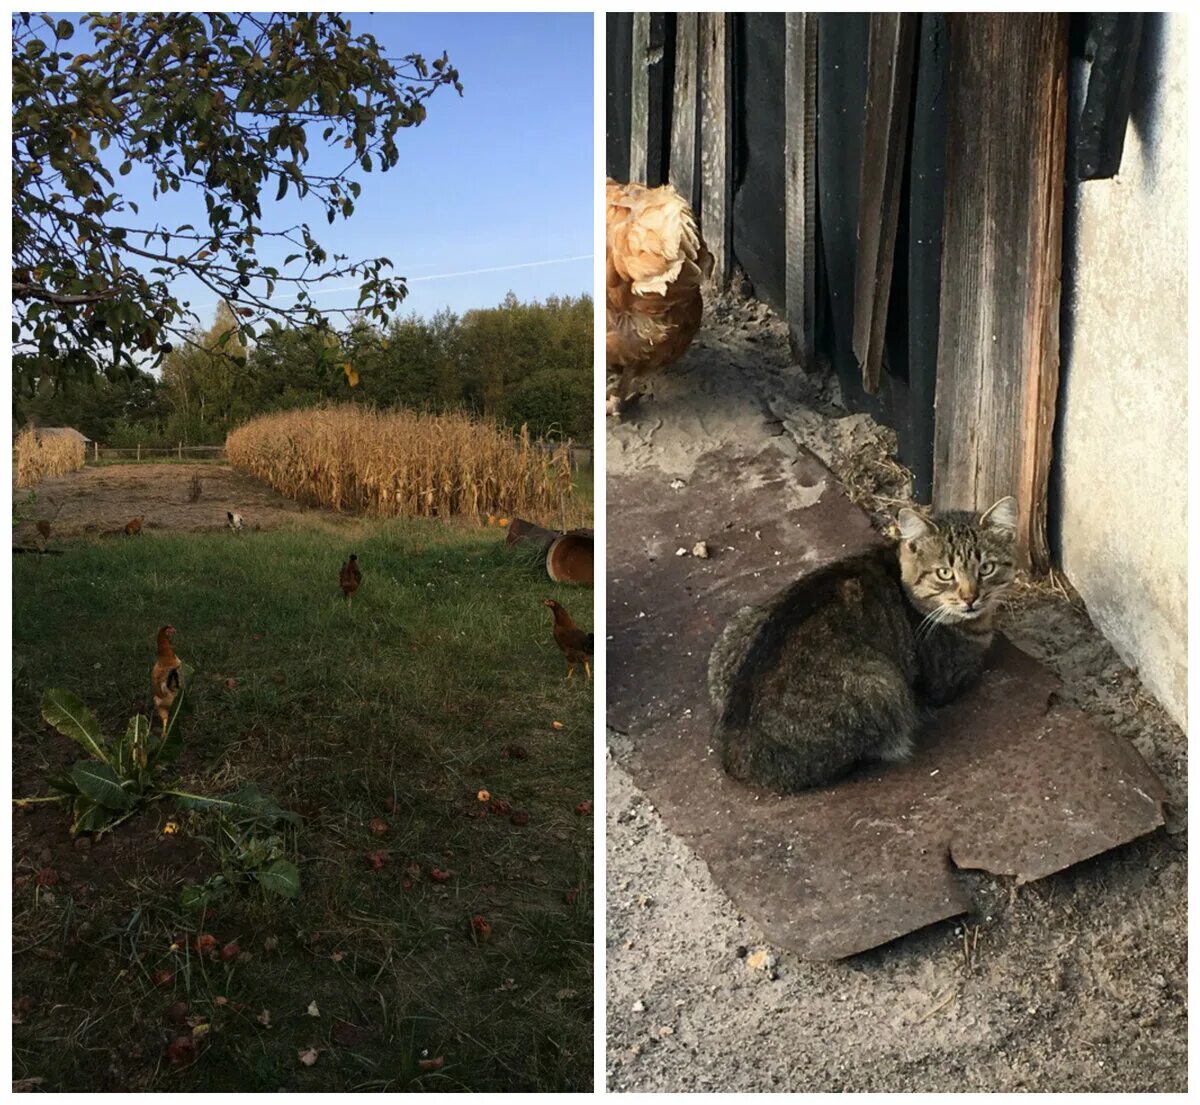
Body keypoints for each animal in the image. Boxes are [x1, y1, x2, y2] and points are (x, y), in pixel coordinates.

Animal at [705, 496, 1017, 787]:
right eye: (945, 573)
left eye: (986, 568)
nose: (970, 597)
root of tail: (735, 751)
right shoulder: (948, 678)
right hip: (882, 684)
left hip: (738, 623)